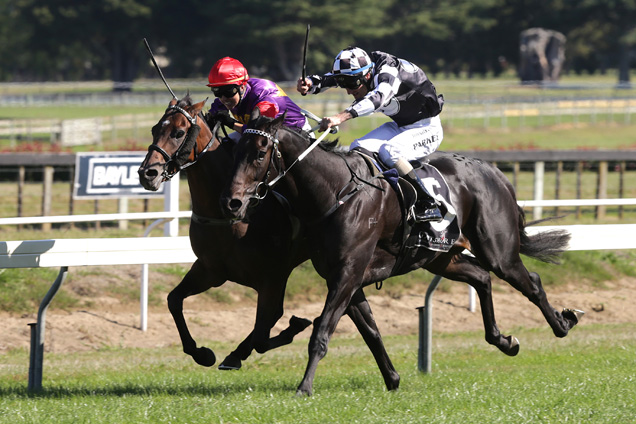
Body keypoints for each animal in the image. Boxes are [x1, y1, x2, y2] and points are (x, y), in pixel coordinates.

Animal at [138, 96, 398, 384]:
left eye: (179, 132)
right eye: (154, 129)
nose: (147, 173)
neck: (229, 216)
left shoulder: (272, 276)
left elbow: (266, 330)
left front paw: (292, 328)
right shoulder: (210, 269)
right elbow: (174, 300)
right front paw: (202, 353)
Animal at [221, 113, 584, 398]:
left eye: (260, 152)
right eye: (234, 150)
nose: (233, 203)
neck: (335, 192)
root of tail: (496, 173)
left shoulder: (347, 275)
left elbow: (321, 332)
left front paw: (304, 388)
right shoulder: (348, 279)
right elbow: (371, 332)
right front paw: (393, 379)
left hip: (498, 251)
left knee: (529, 281)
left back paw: (563, 323)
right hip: (441, 256)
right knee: (482, 278)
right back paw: (504, 340)